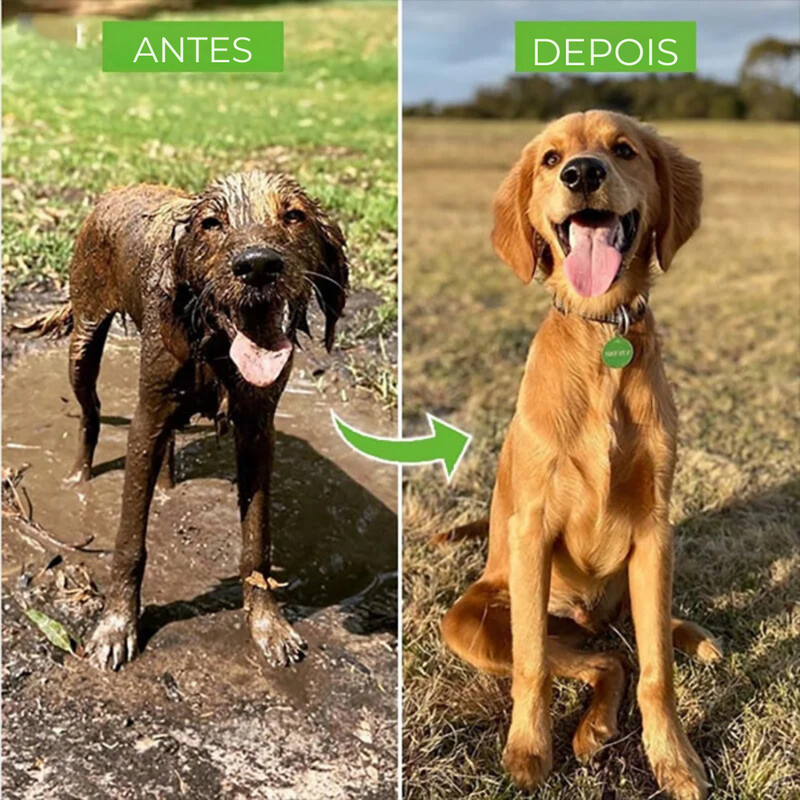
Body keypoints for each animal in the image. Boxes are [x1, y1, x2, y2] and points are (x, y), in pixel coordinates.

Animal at [16, 172, 346, 672]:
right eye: (212, 223)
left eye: (294, 216)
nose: (257, 266)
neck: (213, 341)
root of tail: (118, 189)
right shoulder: (146, 418)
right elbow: (129, 541)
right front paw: (116, 627)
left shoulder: (257, 430)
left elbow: (257, 545)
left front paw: (267, 626)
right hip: (84, 339)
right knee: (91, 412)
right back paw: (78, 476)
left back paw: (168, 485)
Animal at [440, 112, 720, 800]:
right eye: (549, 158)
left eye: (624, 150)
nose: (583, 173)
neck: (602, 336)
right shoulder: (533, 529)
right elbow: (533, 666)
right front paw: (528, 750)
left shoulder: (654, 529)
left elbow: (657, 670)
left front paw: (674, 760)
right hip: (476, 618)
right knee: (598, 658)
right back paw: (590, 728)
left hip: (634, 582)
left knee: (631, 645)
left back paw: (688, 643)